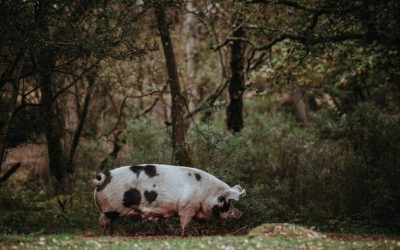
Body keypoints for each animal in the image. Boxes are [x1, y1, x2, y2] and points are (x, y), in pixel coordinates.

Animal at [92, 164, 245, 234]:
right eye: (228, 202)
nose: (240, 213)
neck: (207, 194)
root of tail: (103, 179)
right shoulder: (187, 206)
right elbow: (184, 222)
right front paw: (183, 235)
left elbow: (200, 224)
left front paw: (201, 233)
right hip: (111, 208)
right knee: (103, 221)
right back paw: (106, 235)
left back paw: (112, 234)